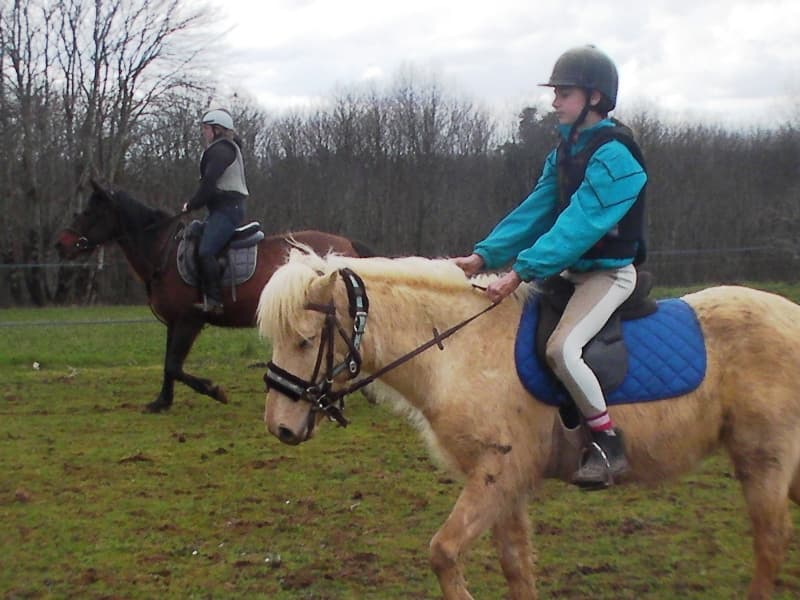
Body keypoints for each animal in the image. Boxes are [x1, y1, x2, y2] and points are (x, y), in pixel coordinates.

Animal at [54, 180, 372, 413]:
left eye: (90, 213)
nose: (61, 245)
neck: (164, 253)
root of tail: (346, 243)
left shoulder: (189, 321)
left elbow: (174, 365)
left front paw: (214, 390)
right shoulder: (174, 323)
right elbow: (168, 364)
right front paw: (162, 402)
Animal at [256, 247, 800, 600]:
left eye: (305, 340)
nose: (280, 427)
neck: (462, 348)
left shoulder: (497, 474)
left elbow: (444, 553)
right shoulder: (506, 485)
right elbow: (516, 567)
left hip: (764, 459)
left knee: (770, 543)